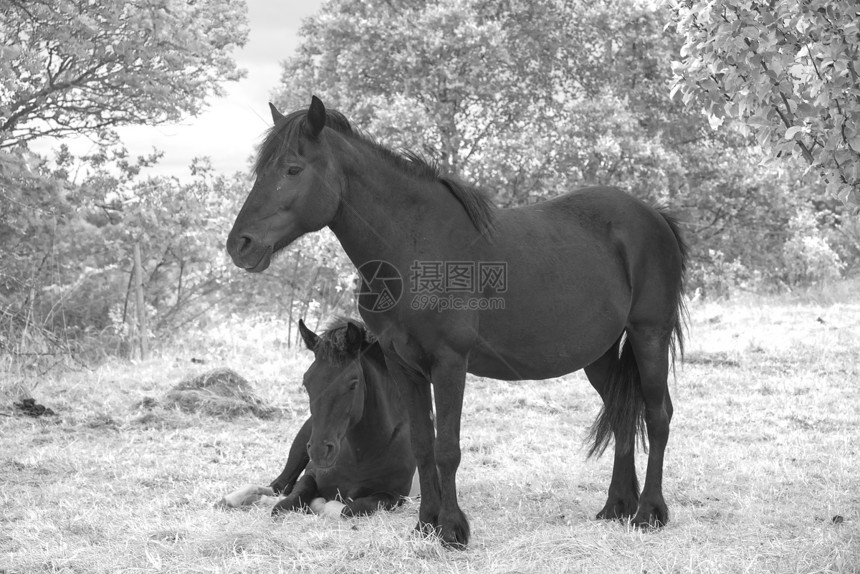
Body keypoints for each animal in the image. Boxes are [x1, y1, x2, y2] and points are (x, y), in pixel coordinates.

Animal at [225, 98, 688, 548]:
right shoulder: (402, 364)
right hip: (601, 355)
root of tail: (653, 215)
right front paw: (425, 525)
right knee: (623, 415)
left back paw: (649, 513)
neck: (414, 247)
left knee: (657, 415)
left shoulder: (449, 362)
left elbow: (447, 447)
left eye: (292, 169)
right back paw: (616, 507)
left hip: (649, 336)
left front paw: (452, 530)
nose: (240, 245)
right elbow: (422, 443)